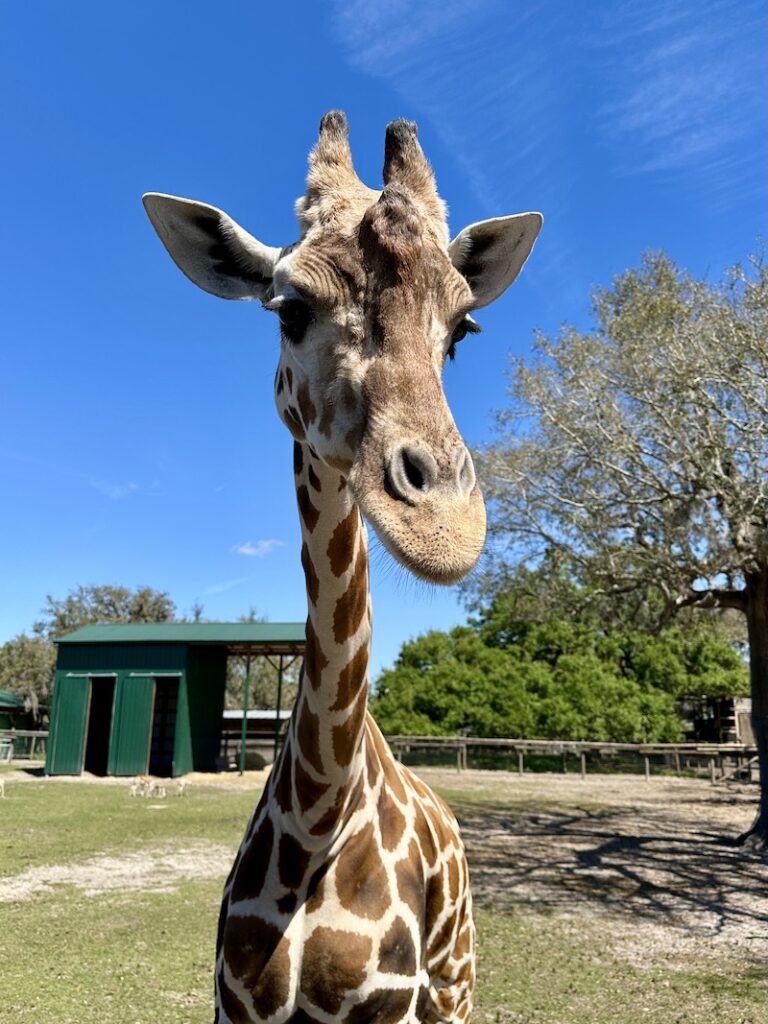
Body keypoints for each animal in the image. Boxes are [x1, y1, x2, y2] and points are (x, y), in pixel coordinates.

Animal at [143, 111, 541, 1023]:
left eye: (461, 332)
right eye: (289, 308)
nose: (444, 530)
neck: (322, 810)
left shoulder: (388, 1005)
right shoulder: (234, 1005)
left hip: (456, 983)